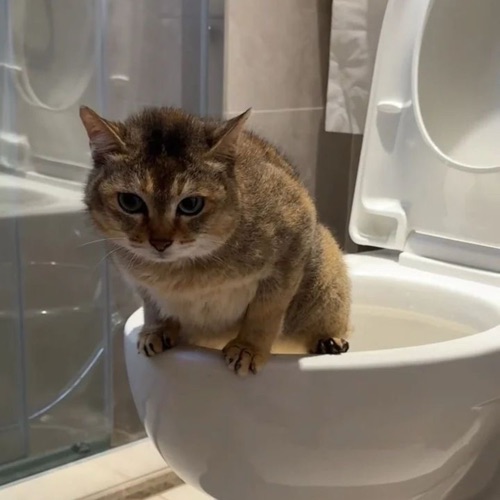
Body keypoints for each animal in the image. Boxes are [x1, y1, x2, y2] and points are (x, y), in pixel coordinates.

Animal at [79, 105, 351, 376]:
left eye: (190, 204)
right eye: (130, 202)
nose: (160, 243)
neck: (178, 274)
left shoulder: (294, 239)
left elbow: (265, 312)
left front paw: (248, 348)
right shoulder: (139, 282)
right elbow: (153, 306)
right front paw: (156, 330)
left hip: (325, 277)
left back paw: (330, 341)